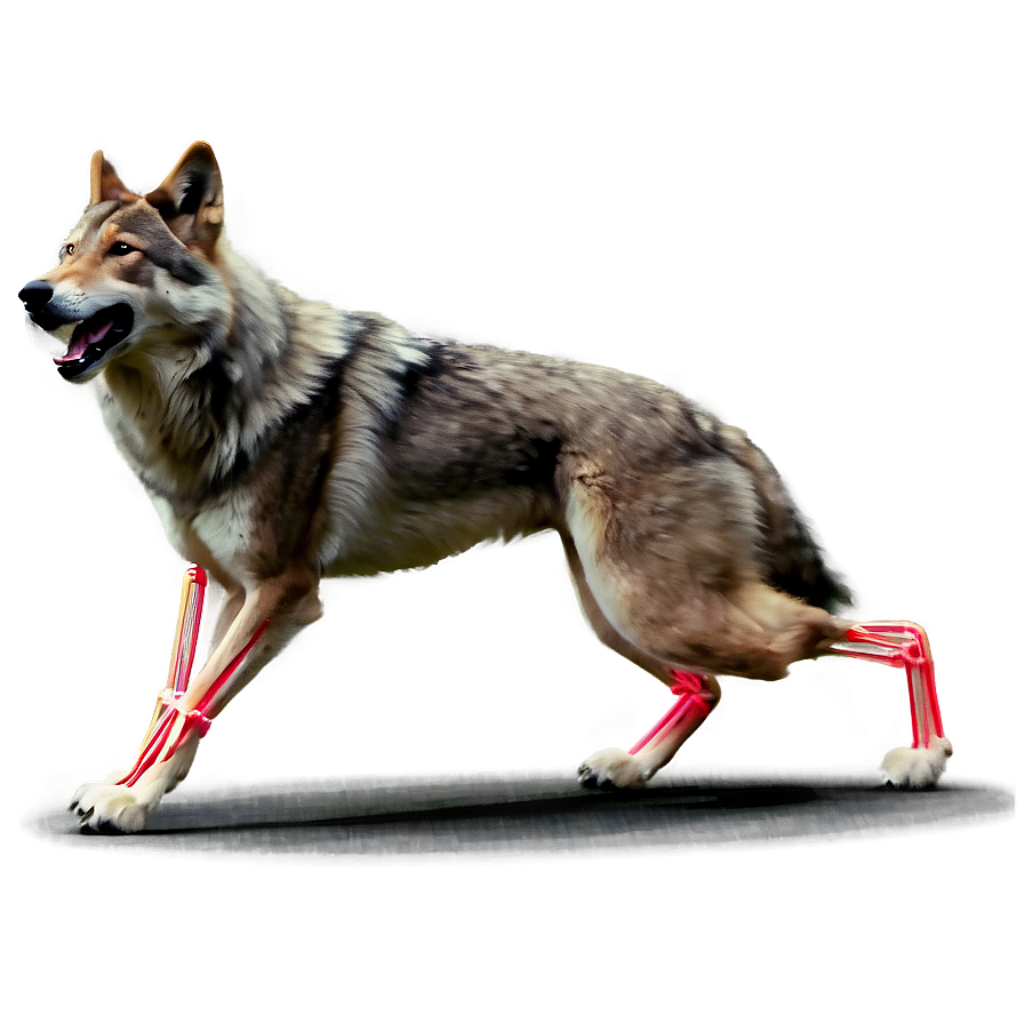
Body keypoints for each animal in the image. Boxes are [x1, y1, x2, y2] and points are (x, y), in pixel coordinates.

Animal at [23, 140, 913, 832]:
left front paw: (131, 805)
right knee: (715, 690)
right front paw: (123, 785)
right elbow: (171, 703)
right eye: (63, 249)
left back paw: (920, 758)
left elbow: (196, 700)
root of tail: (710, 416)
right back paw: (630, 770)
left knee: (872, 633)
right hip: (605, 608)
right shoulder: (204, 578)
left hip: (651, 610)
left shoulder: (279, 591)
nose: (32, 295)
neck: (210, 394)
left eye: (124, 253)